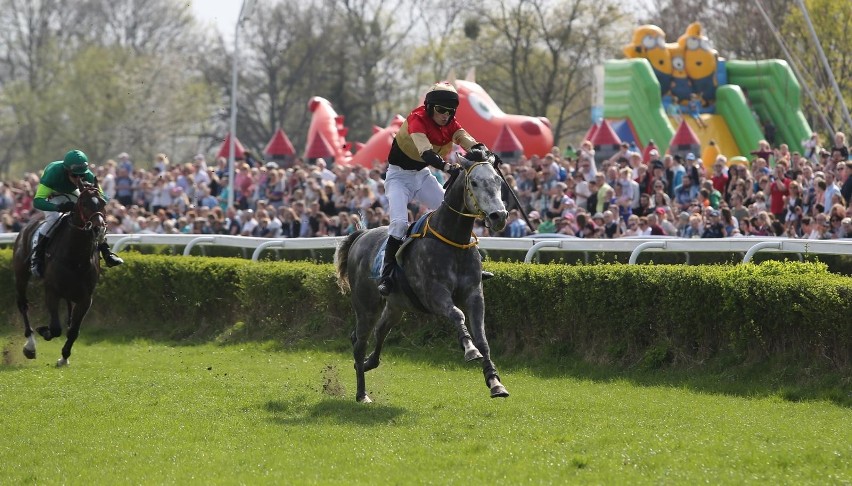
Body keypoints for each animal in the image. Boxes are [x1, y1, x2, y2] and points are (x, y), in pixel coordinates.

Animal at [12, 180, 105, 366]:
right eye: (84, 204)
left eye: (103, 203)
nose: (98, 229)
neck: (75, 256)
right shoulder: (52, 291)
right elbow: (55, 328)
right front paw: (43, 331)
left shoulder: (86, 298)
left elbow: (73, 330)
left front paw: (64, 357)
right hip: (21, 275)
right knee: (23, 305)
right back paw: (30, 345)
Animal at [336, 155, 510, 402]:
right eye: (475, 183)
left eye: (498, 181)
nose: (499, 216)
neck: (453, 239)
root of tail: (361, 235)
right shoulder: (433, 294)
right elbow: (457, 314)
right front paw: (469, 349)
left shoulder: (474, 293)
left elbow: (483, 338)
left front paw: (495, 382)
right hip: (365, 305)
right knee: (359, 340)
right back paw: (362, 393)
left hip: (396, 305)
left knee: (381, 330)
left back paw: (370, 363)